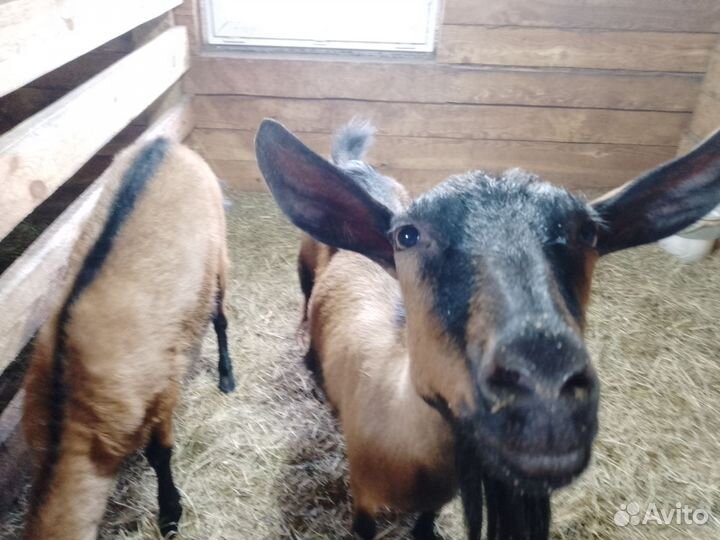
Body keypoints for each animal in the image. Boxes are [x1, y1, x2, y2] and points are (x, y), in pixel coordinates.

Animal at [22, 137, 236, 540]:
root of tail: (164, 142)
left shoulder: (161, 390)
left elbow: (161, 454)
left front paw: (170, 515)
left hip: (218, 254)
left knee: (220, 317)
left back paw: (227, 377)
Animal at [256, 119, 720, 540]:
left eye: (588, 232)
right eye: (407, 235)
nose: (545, 395)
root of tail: (352, 165)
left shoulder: (439, 498)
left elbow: (424, 524)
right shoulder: (364, 502)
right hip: (304, 272)